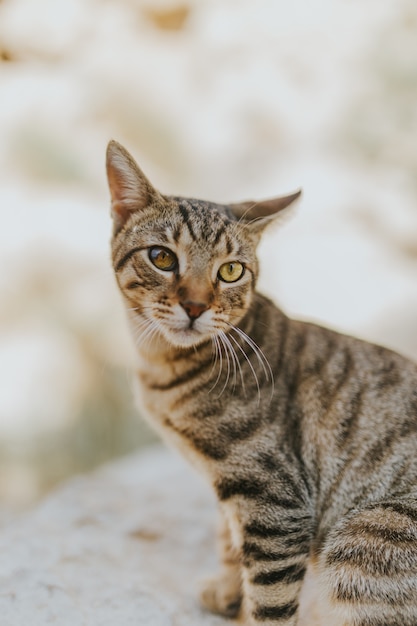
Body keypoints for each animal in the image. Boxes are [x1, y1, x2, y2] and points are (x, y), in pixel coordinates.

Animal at [106, 140, 416, 624]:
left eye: (231, 271)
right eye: (162, 257)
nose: (195, 306)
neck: (163, 365)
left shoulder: (274, 500)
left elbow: (268, 599)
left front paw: (243, 606)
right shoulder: (235, 490)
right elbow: (229, 541)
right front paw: (228, 592)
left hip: (368, 537)